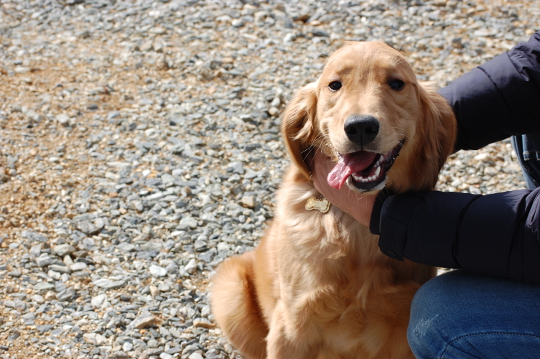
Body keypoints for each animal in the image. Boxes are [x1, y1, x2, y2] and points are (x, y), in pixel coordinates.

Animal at [211, 40, 456, 358]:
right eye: (334, 85)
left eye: (396, 83)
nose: (361, 127)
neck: (358, 232)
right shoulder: (291, 327)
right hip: (230, 292)